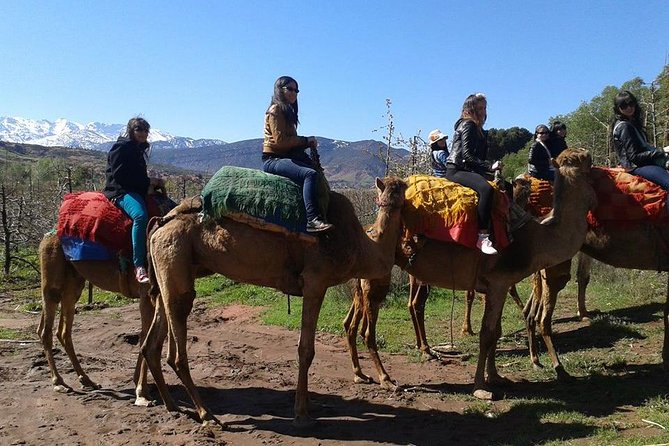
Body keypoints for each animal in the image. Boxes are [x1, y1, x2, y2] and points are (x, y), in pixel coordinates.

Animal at [141, 177, 407, 426]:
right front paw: (302, 413)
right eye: (405, 189)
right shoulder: (315, 281)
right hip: (176, 262)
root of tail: (160, 224)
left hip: (172, 272)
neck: (359, 246)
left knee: (151, 343)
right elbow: (306, 349)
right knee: (176, 350)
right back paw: (207, 415)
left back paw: (173, 406)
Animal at [343, 149, 596, 399]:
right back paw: (387, 380)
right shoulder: (498, 281)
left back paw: (361, 374)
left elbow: (495, 331)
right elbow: (486, 334)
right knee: (369, 330)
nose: (589, 155)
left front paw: (496, 377)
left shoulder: (499, 285)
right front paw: (480, 388)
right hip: (377, 278)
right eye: (579, 160)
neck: (535, 239)